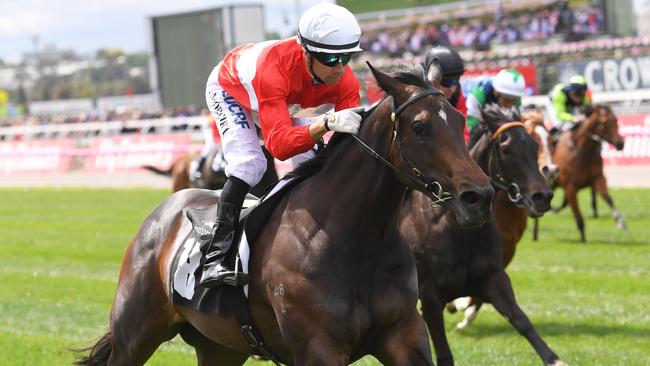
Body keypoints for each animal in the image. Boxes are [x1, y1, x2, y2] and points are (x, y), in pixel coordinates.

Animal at [74, 63, 492, 366]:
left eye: (459, 120)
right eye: (420, 127)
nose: (480, 196)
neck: (355, 242)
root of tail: (161, 214)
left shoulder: (403, 336)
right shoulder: (319, 350)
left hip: (220, 346)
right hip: (135, 336)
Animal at [398, 105, 560, 366]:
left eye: (533, 146)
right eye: (506, 149)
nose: (542, 197)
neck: (456, 226)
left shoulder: (493, 276)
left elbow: (521, 319)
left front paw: (554, 359)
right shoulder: (429, 293)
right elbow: (443, 351)